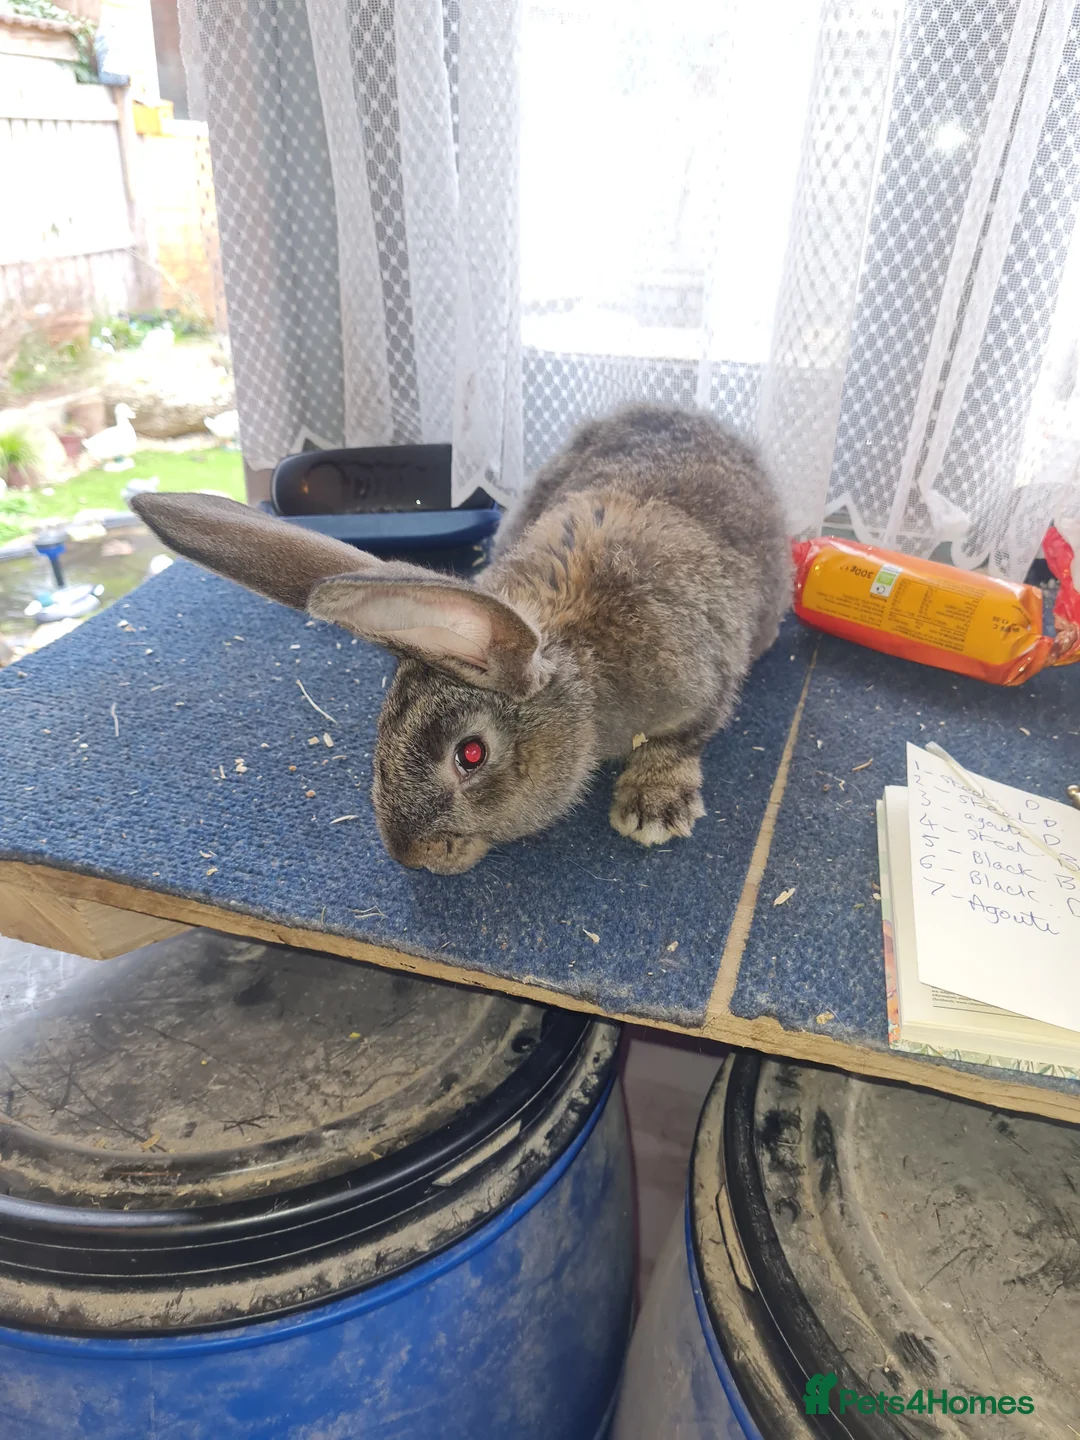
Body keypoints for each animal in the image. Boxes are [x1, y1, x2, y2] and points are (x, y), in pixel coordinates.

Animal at [132, 404, 791, 875]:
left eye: (469, 755)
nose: (413, 858)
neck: (577, 668)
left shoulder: (704, 686)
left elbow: (682, 739)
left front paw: (653, 808)